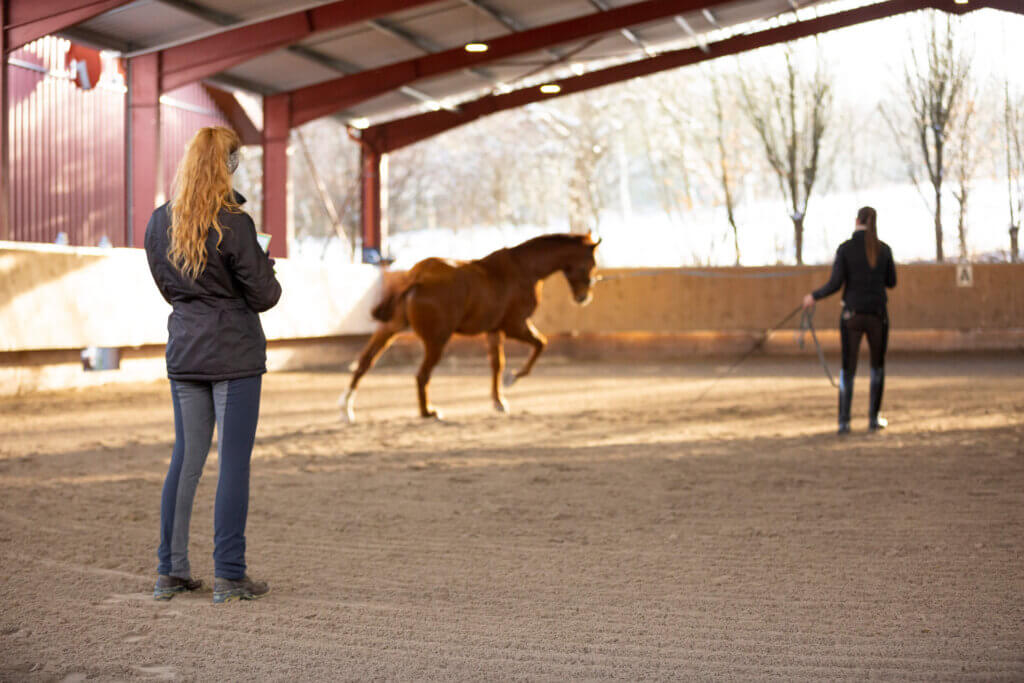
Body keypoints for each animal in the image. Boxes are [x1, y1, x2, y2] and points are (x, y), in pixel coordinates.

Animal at [342, 232, 598, 419]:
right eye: (589, 264)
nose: (584, 297)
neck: (524, 268)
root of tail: (418, 276)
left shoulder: (494, 330)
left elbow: (497, 364)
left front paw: (498, 401)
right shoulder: (514, 325)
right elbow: (540, 344)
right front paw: (514, 378)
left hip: (390, 328)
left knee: (365, 363)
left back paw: (346, 407)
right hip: (437, 341)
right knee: (422, 375)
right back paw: (427, 411)